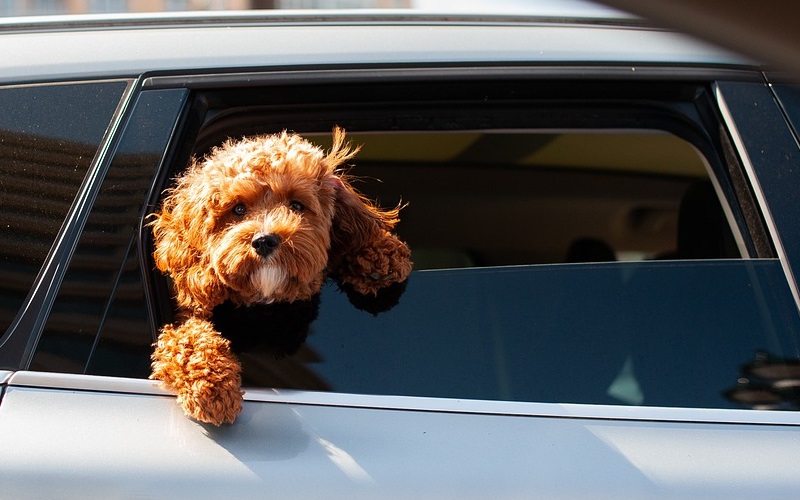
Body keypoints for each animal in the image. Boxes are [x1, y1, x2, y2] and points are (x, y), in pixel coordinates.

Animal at [149, 127, 412, 424]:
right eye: (238, 209)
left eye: (296, 205)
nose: (264, 241)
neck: (266, 303)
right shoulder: (184, 320)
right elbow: (186, 340)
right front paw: (212, 388)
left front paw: (380, 253)